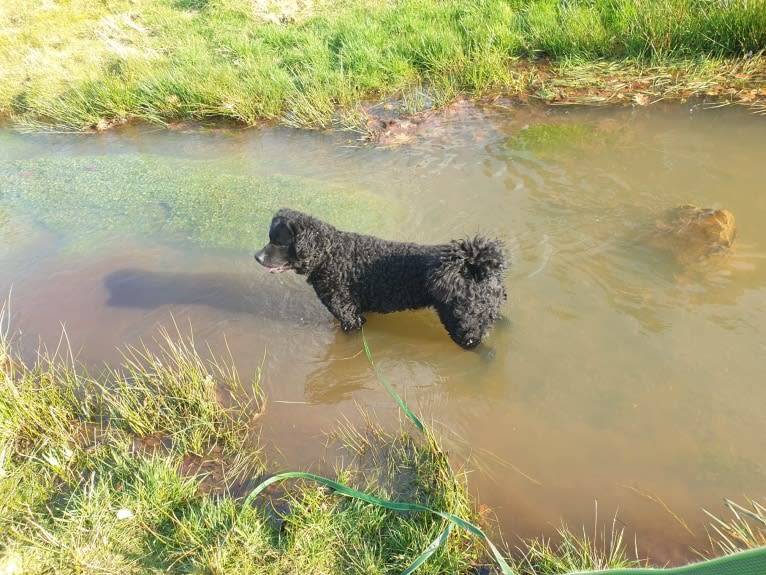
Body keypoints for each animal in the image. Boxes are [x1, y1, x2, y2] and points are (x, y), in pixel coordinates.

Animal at [255, 209, 510, 348]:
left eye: (279, 241)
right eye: (270, 238)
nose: (257, 256)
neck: (330, 254)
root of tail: (474, 265)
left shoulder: (350, 317)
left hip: (464, 327)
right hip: (485, 310)